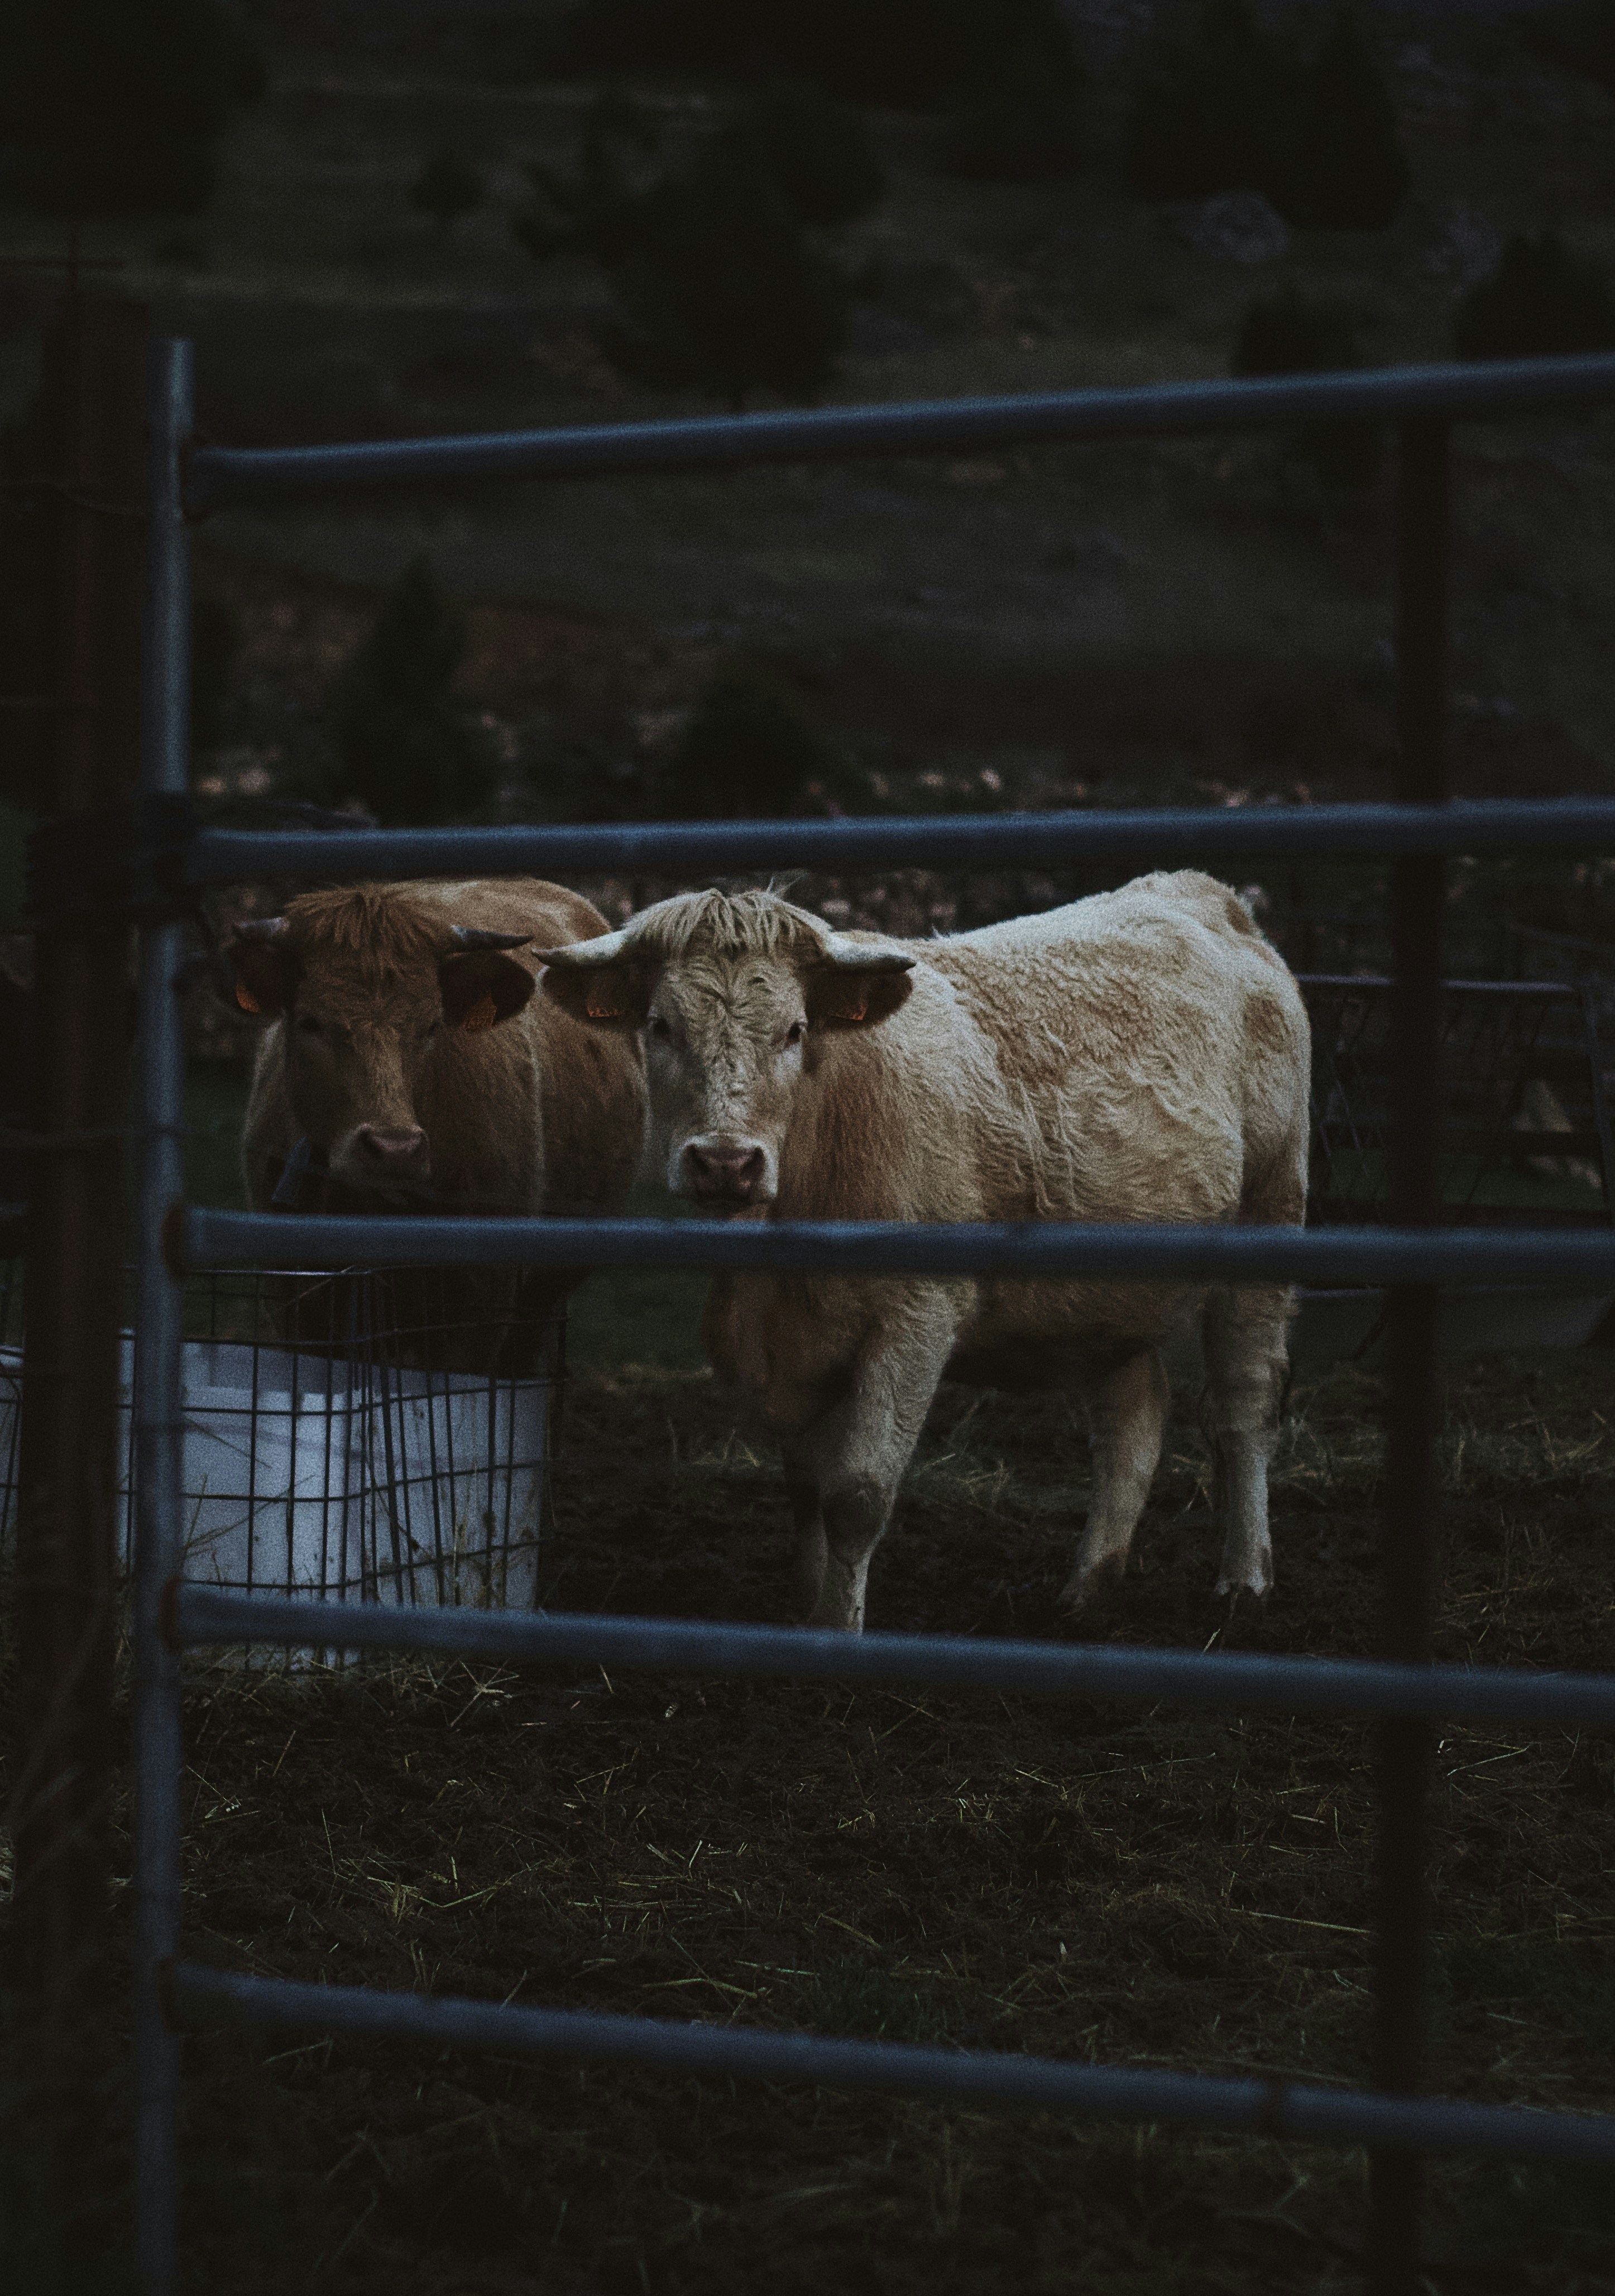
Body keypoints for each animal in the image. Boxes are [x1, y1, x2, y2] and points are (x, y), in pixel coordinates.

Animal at [229, 879, 645, 1373]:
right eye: (310, 1022)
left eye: (431, 1025)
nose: (394, 1149)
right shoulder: (294, 1301)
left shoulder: (481, 1304)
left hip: (542, 1294)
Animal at [537, 872, 1310, 1632]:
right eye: (660, 1026)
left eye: (794, 1030)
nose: (725, 1162)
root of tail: (1200, 894)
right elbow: (806, 1491)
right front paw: (809, 1611)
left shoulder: (916, 1316)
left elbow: (855, 1494)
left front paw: (838, 1628)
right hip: (1102, 1300)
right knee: (1133, 1410)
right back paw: (1088, 1584)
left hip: (1269, 1219)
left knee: (1244, 1402)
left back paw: (1244, 1578)